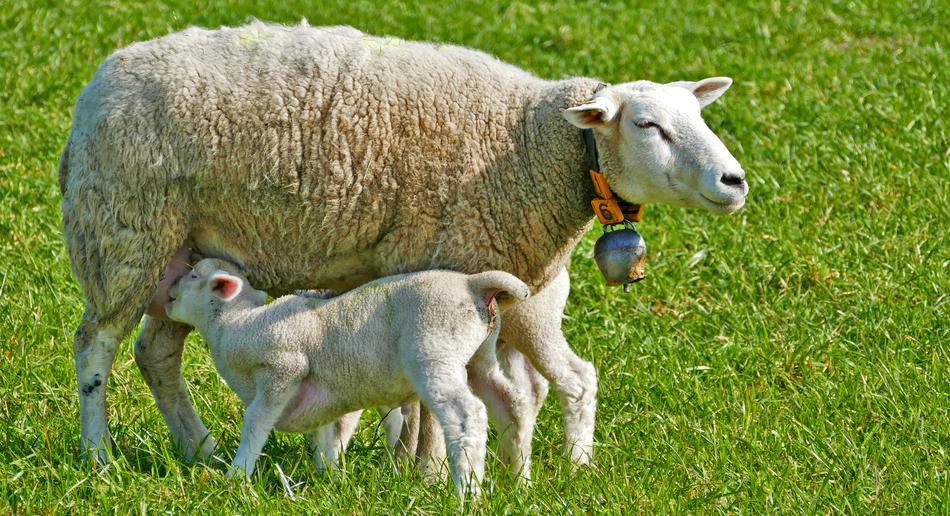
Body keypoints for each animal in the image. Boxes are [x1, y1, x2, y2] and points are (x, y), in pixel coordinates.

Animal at [59, 21, 748, 468]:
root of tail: (97, 86)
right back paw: (99, 457)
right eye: (648, 125)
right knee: (96, 348)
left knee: (155, 352)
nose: (735, 181)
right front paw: (429, 471)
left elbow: (426, 400)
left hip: (178, 254)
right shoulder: (437, 266)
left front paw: (412, 468)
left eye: (700, 117)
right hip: (122, 232)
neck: (528, 139)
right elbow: (431, 402)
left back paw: (197, 450)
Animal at [163, 258, 531, 495]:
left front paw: (236, 476)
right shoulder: (324, 395)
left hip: (434, 351)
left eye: (193, 275)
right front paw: (330, 481)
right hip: (480, 356)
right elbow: (328, 436)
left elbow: (255, 423)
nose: (167, 293)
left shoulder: (284, 366)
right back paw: (518, 484)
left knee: (467, 415)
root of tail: (471, 284)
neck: (234, 324)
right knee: (512, 406)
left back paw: (466, 492)